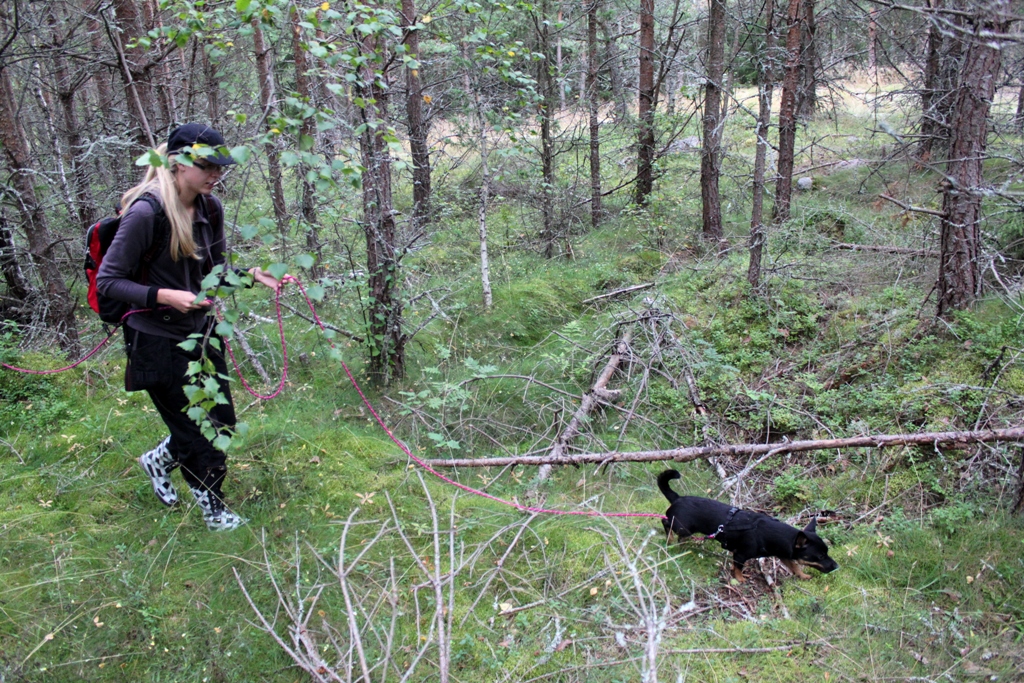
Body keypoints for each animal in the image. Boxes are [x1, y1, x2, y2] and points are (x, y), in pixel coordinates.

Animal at [658, 469, 838, 582]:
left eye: (827, 552)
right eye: (820, 556)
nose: (836, 566)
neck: (770, 535)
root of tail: (677, 498)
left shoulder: (784, 555)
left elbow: (795, 566)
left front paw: (803, 576)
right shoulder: (740, 555)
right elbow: (738, 568)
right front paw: (740, 579)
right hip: (683, 527)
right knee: (665, 522)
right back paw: (670, 540)